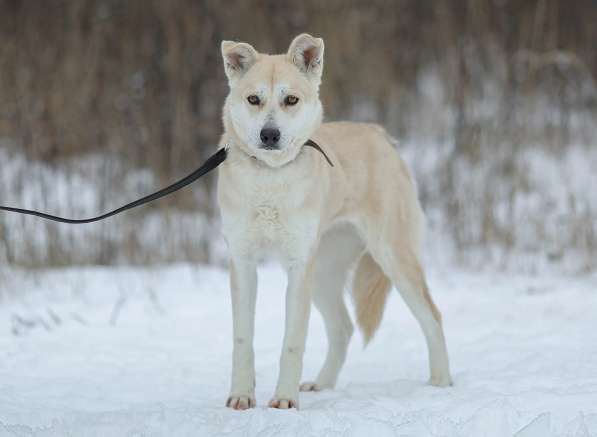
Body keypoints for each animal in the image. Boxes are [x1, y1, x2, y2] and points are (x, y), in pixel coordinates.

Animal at [217, 31, 450, 408]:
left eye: (291, 100)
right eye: (253, 99)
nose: (269, 135)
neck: (270, 181)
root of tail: (381, 135)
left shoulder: (299, 267)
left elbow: (292, 342)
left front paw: (284, 400)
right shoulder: (243, 263)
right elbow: (242, 340)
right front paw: (241, 396)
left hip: (392, 257)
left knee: (432, 316)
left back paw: (441, 383)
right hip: (324, 273)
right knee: (343, 327)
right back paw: (322, 384)